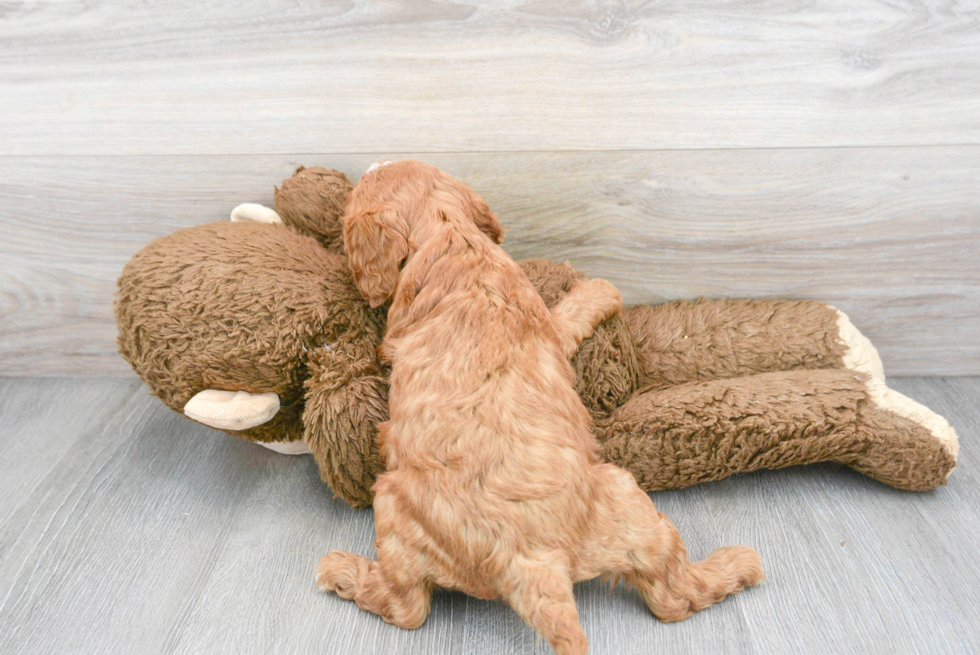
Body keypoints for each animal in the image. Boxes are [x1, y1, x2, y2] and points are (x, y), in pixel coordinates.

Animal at [318, 160, 760, 655]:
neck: (450, 236)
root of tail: (532, 561)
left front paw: (600, 288)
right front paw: (604, 290)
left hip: (394, 501)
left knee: (408, 606)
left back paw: (341, 571)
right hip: (627, 502)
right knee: (672, 596)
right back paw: (738, 564)